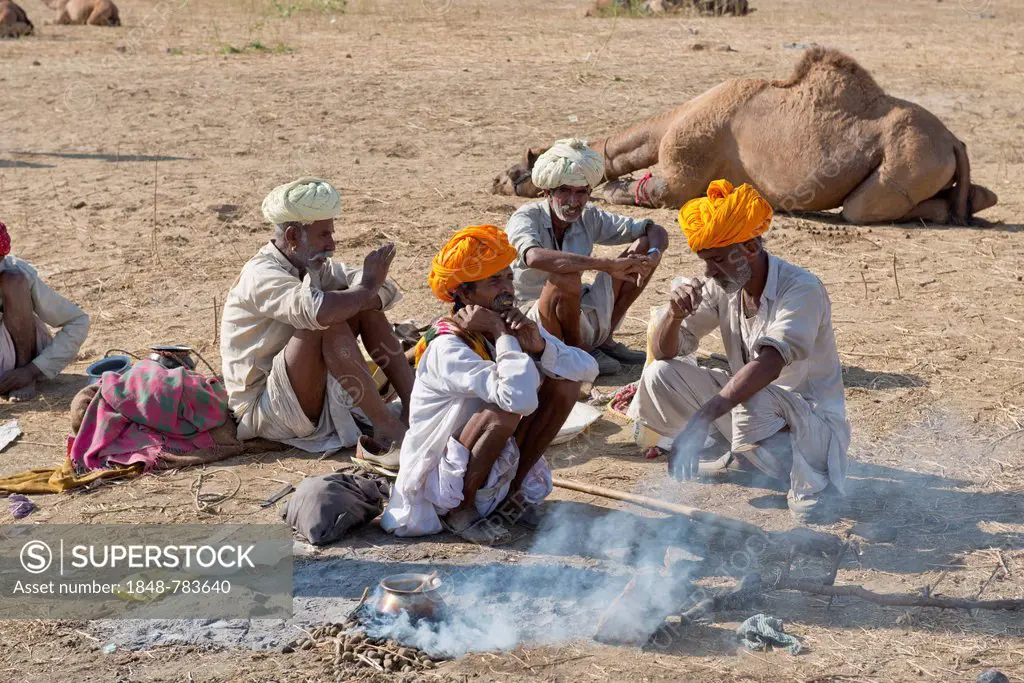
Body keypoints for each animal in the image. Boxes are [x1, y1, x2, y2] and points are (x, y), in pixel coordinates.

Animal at [495, 46, 999, 227]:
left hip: (905, 162)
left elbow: (644, 191)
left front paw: (617, 186)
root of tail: (952, 139)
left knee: (862, 208)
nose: (497, 179)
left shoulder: (682, 174)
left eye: (523, 165)